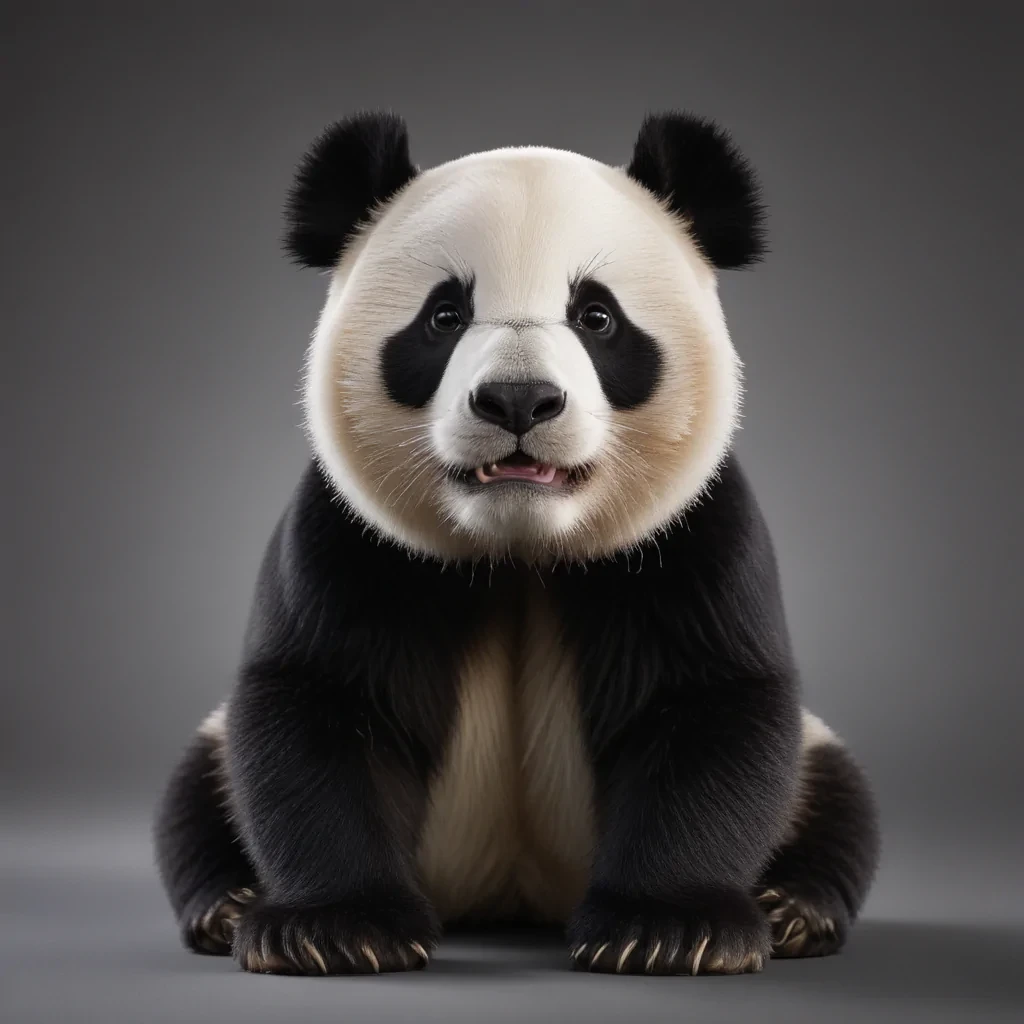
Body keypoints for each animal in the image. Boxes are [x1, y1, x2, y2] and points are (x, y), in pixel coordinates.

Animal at [154, 110, 880, 977]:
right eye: (444, 316)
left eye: (597, 317)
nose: (518, 400)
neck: (520, 554)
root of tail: (510, 902)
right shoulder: (354, 540)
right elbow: (321, 702)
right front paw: (333, 930)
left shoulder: (690, 536)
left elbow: (707, 704)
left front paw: (669, 930)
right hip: (218, 747)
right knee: (198, 787)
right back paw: (227, 904)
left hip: (815, 753)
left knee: (837, 793)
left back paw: (795, 908)